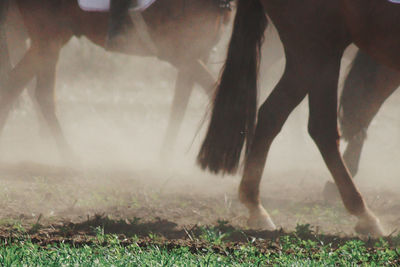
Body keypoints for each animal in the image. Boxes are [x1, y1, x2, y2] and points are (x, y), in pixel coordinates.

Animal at [0, 0, 230, 159]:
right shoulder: (179, 54)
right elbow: (215, 92)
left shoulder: (197, 54)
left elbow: (180, 105)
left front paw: (165, 157)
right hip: (47, 41)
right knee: (32, 92)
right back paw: (68, 155)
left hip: (49, 41)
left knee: (21, 88)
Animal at [200, 1, 400, 238]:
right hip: (317, 52)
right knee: (321, 128)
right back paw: (364, 214)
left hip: (311, 57)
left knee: (272, 115)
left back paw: (255, 206)